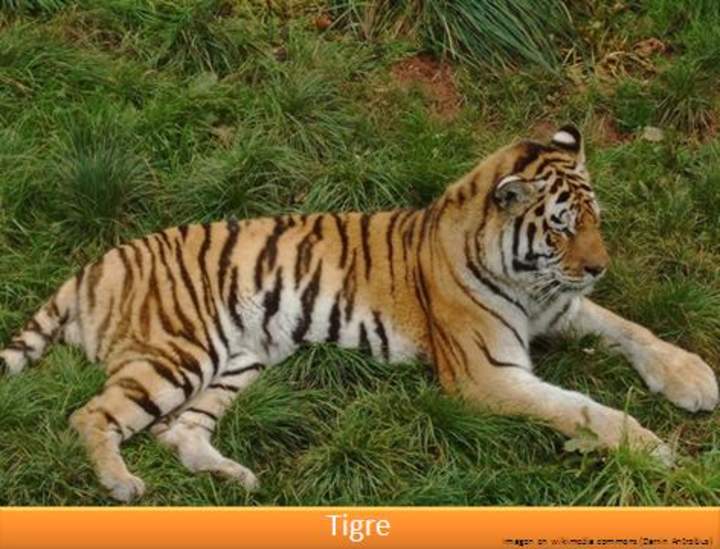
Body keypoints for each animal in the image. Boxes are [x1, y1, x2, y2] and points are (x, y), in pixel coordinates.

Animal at [1, 125, 717, 502]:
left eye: (595, 219)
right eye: (563, 227)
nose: (600, 267)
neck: (528, 279)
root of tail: (92, 265)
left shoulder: (560, 305)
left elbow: (630, 329)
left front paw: (694, 379)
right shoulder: (486, 372)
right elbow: (579, 407)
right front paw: (650, 448)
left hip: (239, 360)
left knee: (177, 433)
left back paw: (239, 477)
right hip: (178, 352)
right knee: (91, 414)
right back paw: (122, 484)